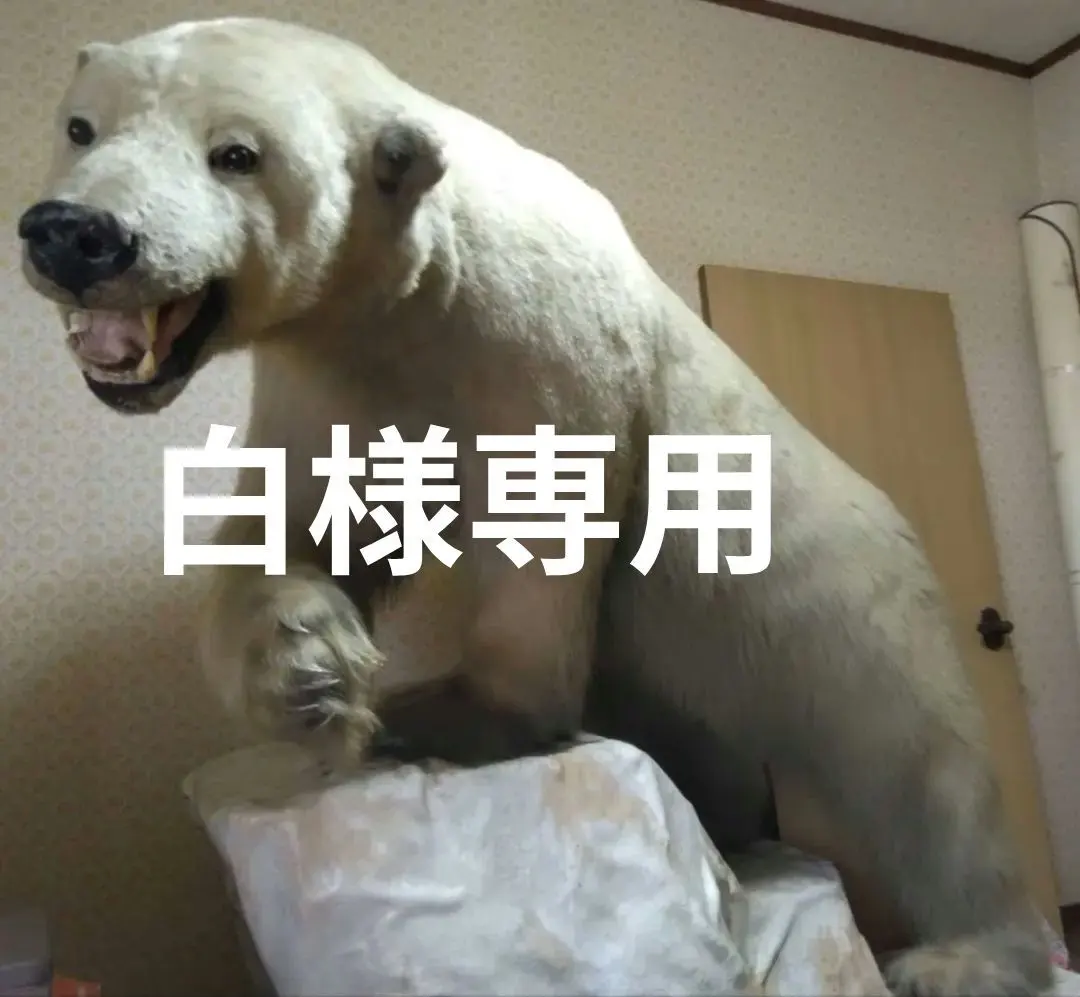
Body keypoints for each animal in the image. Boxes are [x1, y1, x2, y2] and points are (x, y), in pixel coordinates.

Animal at [15, 16, 1052, 997]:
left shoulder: (535, 333)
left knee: (917, 761)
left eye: (235, 152)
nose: (76, 233)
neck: (414, 289)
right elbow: (297, 519)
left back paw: (964, 954)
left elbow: (546, 529)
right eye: (80, 126)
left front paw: (444, 709)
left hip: (822, 581)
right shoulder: (329, 377)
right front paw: (309, 671)